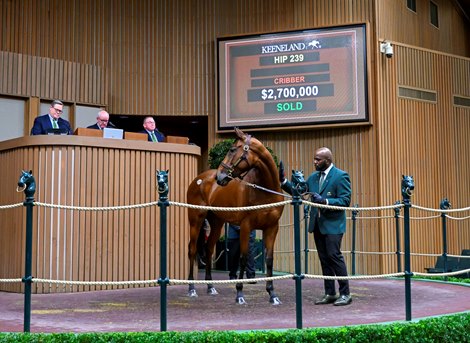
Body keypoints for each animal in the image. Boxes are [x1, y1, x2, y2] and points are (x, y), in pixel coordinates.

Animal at [186, 128, 282, 304]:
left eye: (232, 150)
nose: (219, 177)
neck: (265, 191)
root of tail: (199, 179)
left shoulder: (272, 227)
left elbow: (269, 260)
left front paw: (272, 294)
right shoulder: (246, 226)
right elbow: (242, 258)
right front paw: (239, 294)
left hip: (216, 223)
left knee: (209, 249)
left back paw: (211, 287)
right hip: (196, 221)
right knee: (192, 249)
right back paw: (191, 288)